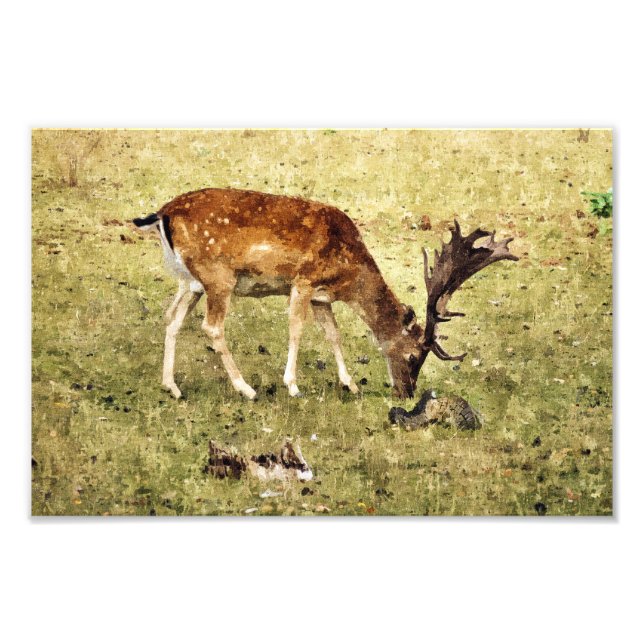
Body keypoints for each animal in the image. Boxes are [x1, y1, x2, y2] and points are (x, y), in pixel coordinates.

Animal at [132, 188, 518, 401]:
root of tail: (162, 214)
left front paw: (350, 384)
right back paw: (246, 389)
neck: (348, 274)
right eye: (413, 356)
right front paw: (292, 386)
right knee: (211, 327)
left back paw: (172, 387)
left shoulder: (321, 297)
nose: (406, 393)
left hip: (190, 282)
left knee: (171, 318)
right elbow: (296, 330)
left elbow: (333, 334)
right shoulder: (303, 280)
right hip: (218, 277)